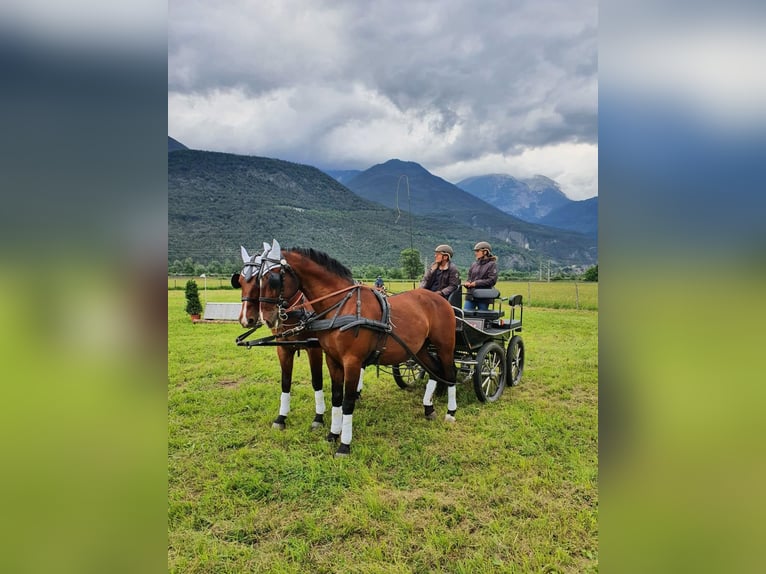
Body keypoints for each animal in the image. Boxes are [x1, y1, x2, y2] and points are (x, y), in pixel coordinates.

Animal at [231, 244, 364, 432]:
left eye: (261, 281)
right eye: (240, 282)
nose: (245, 319)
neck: (297, 311)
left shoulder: (314, 349)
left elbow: (317, 381)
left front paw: (318, 417)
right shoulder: (283, 349)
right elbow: (285, 382)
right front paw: (281, 417)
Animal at [255, 242, 456, 460]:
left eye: (273, 278)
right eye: (258, 278)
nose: (267, 318)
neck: (342, 305)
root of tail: (439, 299)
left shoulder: (352, 361)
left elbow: (348, 402)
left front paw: (344, 445)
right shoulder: (332, 359)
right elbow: (336, 398)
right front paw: (332, 435)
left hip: (445, 347)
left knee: (449, 372)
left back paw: (450, 413)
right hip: (419, 349)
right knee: (434, 369)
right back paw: (429, 408)